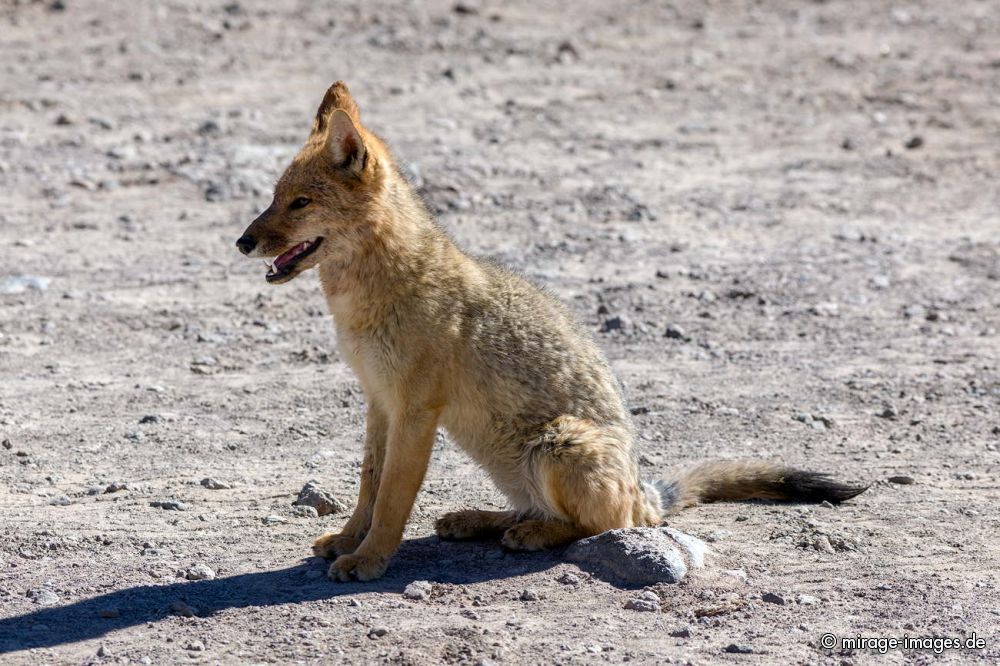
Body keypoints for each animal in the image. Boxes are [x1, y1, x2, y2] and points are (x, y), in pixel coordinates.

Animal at [236, 81, 868, 580]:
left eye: (299, 203)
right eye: (272, 198)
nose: (242, 242)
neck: (372, 295)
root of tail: (644, 492)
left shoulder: (414, 411)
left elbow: (392, 498)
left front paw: (369, 560)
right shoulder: (378, 402)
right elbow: (368, 484)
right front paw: (349, 540)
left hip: (555, 447)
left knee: (597, 526)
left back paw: (528, 534)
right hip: (510, 460)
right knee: (543, 511)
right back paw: (478, 520)